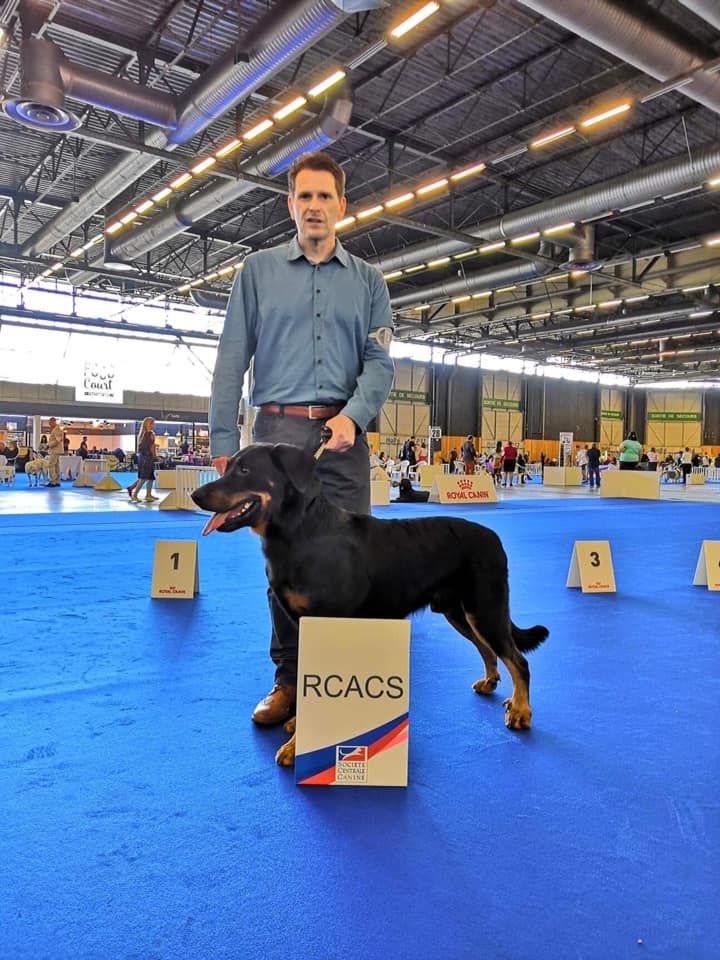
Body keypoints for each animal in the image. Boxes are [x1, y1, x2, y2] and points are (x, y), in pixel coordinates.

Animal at [191, 442, 544, 764]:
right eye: (228, 466)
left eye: (245, 470)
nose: (196, 495)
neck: (300, 534)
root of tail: (494, 539)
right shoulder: (303, 626)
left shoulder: (326, 625)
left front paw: (297, 744)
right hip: (459, 611)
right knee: (489, 650)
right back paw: (490, 683)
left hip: (485, 608)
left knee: (518, 660)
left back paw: (521, 712)